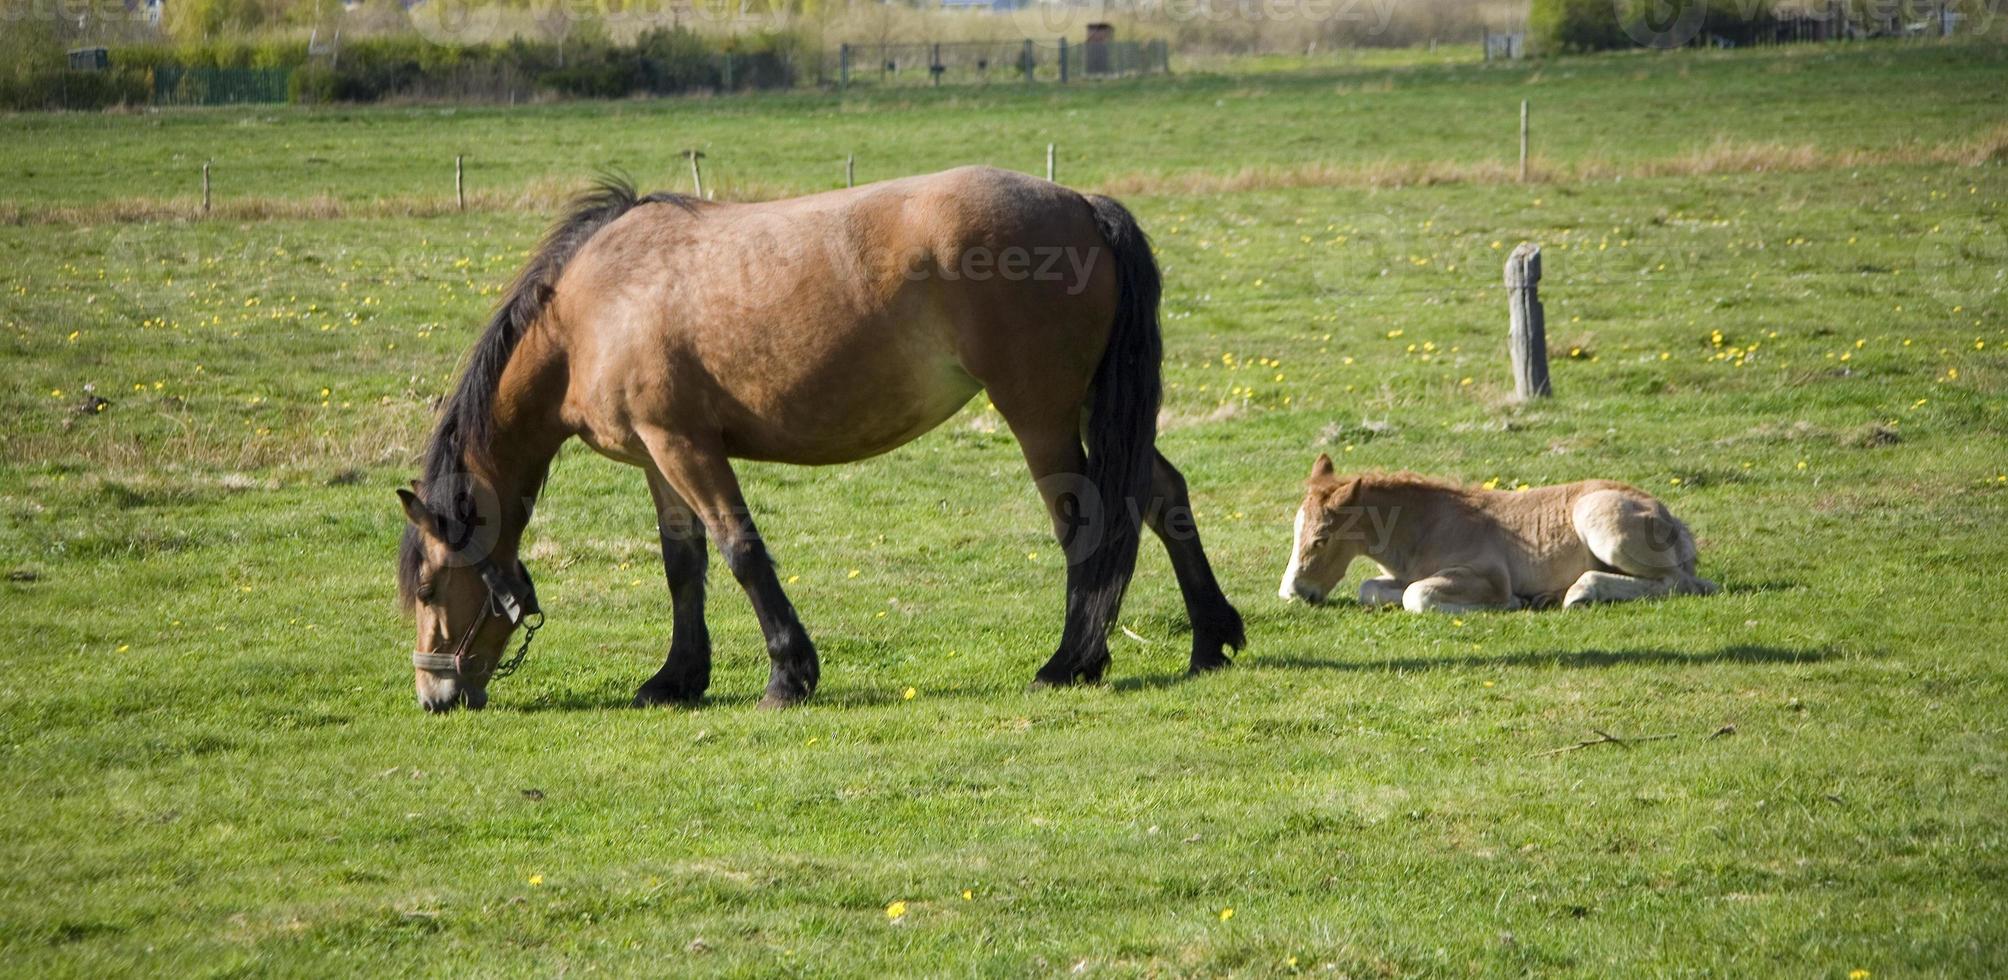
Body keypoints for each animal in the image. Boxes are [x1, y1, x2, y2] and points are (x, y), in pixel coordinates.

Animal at [395, 166, 1236, 710]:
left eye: (430, 586)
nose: (435, 694)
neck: (593, 310)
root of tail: (1083, 205)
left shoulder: (686, 447)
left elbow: (740, 551)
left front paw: (788, 675)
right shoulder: (657, 459)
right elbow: (683, 566)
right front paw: (677, 678)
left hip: (1042, 415)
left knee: (1087, 523)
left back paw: (1071, 662)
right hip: (1091, 408)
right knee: (1161, 495)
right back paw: (1212, 639)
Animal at [1277, 453, 1718, 610]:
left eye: (1320, 539)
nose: (1292, 593)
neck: (1428, 526)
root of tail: (1672, 518)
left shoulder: (1486, 575)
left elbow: (1416, 596)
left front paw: (1509, 603)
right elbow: (1371, 588)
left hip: (1602, 526)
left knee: (1682, 583)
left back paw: (1578, 593)